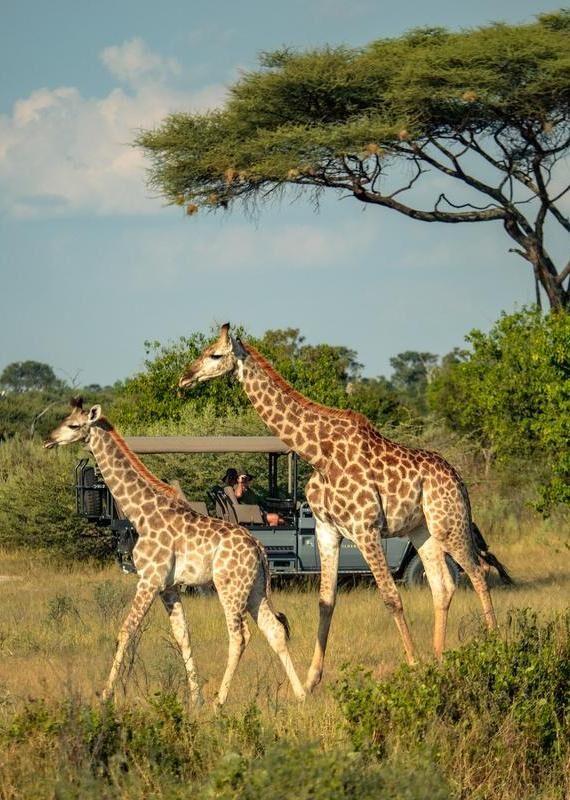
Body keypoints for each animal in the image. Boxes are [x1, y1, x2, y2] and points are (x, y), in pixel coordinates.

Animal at [44, 398, 306, 706]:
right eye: (64, 419)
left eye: (74, 425)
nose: (49, 439)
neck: (140, 513)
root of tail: (259, 548)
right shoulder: (168, 586)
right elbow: (183, 635)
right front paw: (195, 698)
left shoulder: (148, 580)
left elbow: (126, 630)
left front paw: (105, 695)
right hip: (254, 588)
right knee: (274, 629)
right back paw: (302, 694)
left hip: (230, 587)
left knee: (240, 635)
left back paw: (220, 700)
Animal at [178, 324, 497, 692]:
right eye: (203, 351)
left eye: (215, 355)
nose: (185, 378)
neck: (320, 455)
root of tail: (459, 480)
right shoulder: (326, 529)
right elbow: (325, 600)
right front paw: (311, 680)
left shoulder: (365, 527)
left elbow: (391, 597)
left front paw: (414, 666)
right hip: (422, 531)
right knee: (442, 585)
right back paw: (440, 657)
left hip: (451, 524)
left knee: (477, 574)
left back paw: (494, 646)